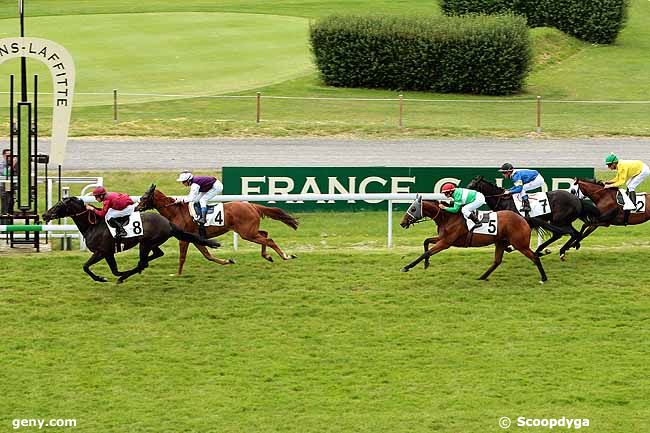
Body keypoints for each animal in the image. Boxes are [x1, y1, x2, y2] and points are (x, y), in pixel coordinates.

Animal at [43, 196, 220, 284]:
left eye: (59, 205)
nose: (44, 215)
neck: (93, 225)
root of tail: (168, 222)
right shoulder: (108, 253)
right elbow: (112, 269)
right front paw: (111, 276)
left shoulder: (101, 251)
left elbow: (86, 267)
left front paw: (102, 278)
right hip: (150, 243)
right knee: (155, 255)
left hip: (146, 243)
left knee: (144, 262)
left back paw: (126, 276)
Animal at [138, 184, 300, 276]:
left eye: (144, 197)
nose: (137, 207)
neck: (176, 212)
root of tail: (252, 205)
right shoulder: (196, 239)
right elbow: (207, 255)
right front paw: (228, 260)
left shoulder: (184, 239)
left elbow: (182, 257)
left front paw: (177, 275)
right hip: (249, 231)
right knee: (265, 234)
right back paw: (267, 256)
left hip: (246, 233)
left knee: (269, 240)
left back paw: (285, 256)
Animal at [398, 194, 544, 282]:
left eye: (413, 209)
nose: (402, 223)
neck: (448, 217)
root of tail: (524, 219)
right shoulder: (442, 238)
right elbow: (426, 241)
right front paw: (426, 264)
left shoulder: (446, 242)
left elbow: (427, 252)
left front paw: (407, 267)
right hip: (501, 242)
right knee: (497, 261)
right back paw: (482, 277)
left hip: (520, 244)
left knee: (535, 257)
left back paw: (543, 278)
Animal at [466, 176, 596, 260]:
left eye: (472, 185)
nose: (464, 191)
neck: (504, 201)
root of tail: (577, 199)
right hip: (563, 221)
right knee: (573, 233)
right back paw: (558, 249)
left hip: (559, 221)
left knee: (564, 234)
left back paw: (551, 250)